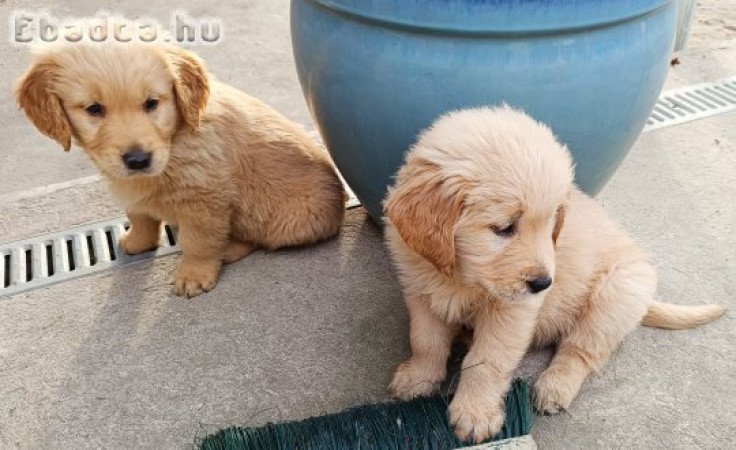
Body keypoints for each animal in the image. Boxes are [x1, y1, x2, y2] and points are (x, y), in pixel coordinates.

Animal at [17, 40, 344, 298]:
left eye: (151, 103)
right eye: (94, 109)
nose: (138, 160)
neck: (175, 140)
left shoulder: (204, 199)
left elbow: (198, 241)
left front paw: (195, 275)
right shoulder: (133, 188)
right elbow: (140, 217)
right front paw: (138, 242)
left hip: (284, 218)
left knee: (261, 239)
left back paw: (227, 250)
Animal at [386, 105, 724, 442]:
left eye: (551, 226)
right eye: (504, 228)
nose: (544, 283)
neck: (461, 277)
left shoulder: (512, 313)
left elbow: (487, 360)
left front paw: (475, 412)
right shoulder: (420, 291)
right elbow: (425, 341)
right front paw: (418, 378)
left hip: (615, 295)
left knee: (580, 350)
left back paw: (554, 387)